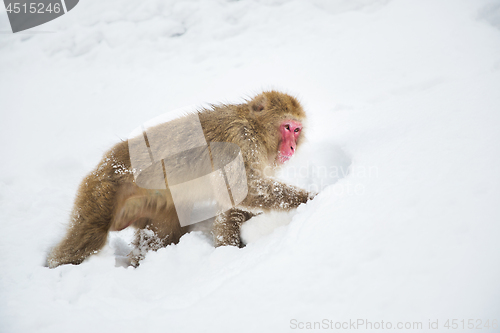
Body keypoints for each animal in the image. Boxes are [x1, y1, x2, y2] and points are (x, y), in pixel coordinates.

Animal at [46, 91, 312, 268]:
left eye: (297, 130)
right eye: (287, 127)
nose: (291, 147)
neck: (255, 128)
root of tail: (103, 164)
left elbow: (233, 203)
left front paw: (227, 250)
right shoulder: (240, 140)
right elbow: (243, 190)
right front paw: (313, 198)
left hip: (153, 206)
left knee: (161, 234)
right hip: (102, 190)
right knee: (87, 239)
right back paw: (58, 263)